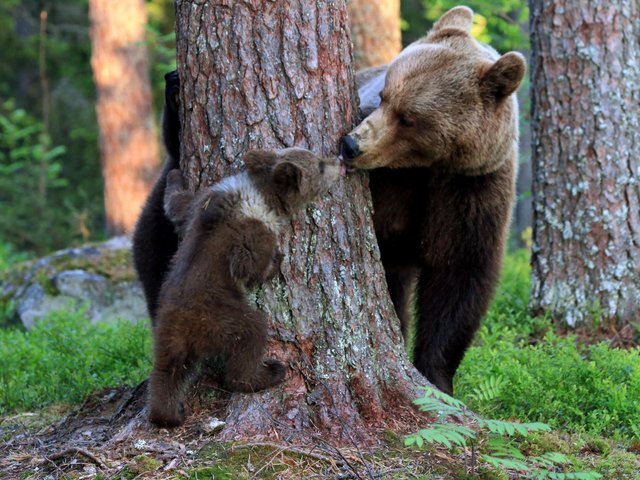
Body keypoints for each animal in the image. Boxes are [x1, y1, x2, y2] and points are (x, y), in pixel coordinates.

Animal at [340, 6, 524, 394]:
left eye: (409, 118)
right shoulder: (393, 188)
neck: (427, 168)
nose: (350, 145)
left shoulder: (471, 192)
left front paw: (436, 377)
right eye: (384, 95)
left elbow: (459, 279)